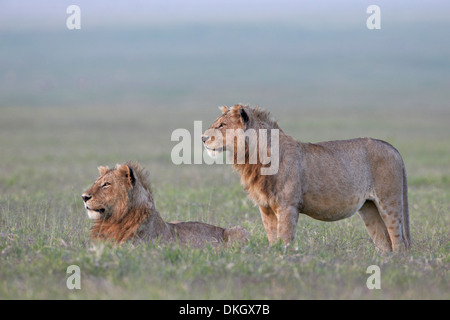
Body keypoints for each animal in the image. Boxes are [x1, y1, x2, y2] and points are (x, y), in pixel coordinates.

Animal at [204, 104, 412, 251]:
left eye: (221, 125)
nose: (202, 138)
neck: (252, 159)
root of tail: (393, 148)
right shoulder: (266, 208)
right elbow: (273, 239)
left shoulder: (288, 206)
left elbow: (285, 239)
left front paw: (285, 260)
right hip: (369, 208)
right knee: (384, 243)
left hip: (389, 203)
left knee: (399, 242)